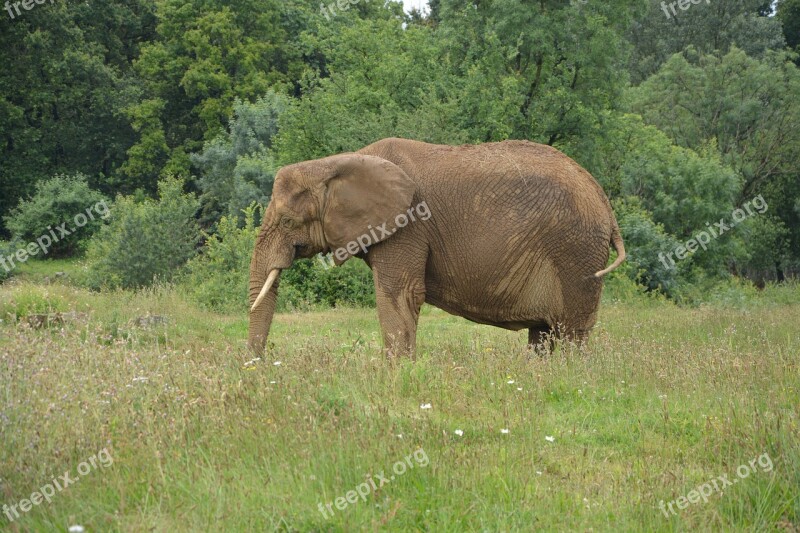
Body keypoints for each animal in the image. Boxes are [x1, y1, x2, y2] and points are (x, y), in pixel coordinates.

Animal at [248, 137, 624, 356]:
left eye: (287, 221)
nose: (258, 366)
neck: (336, 163)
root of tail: (605, 203)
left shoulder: (408, 225)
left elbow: (401, 294)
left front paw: (397, 373)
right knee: (543, 335)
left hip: (576, 251)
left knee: (571, 334)